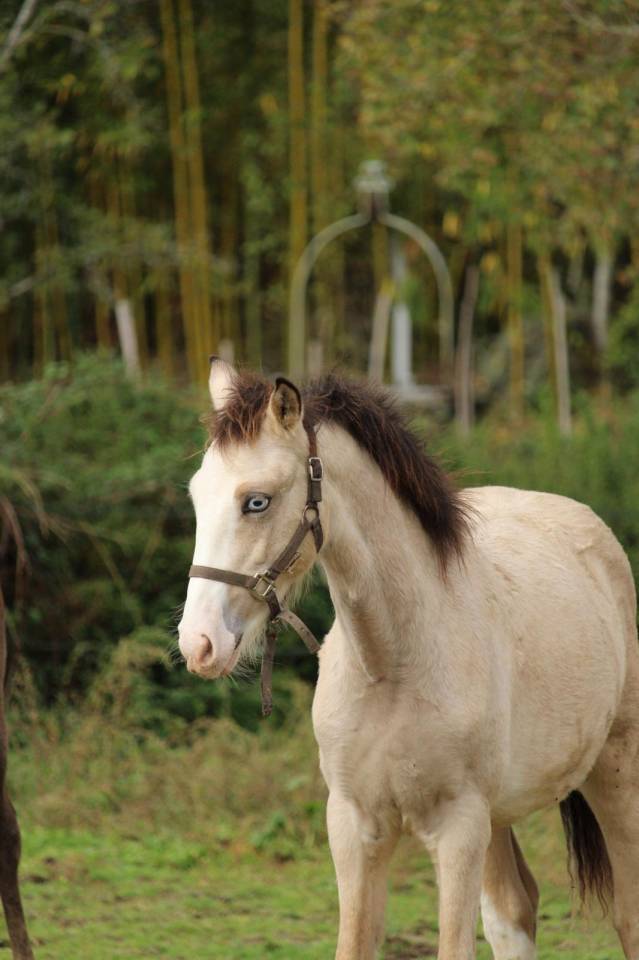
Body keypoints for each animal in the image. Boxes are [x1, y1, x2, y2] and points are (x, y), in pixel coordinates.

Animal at [178, 358, 639, 960]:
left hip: (614, 772)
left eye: (257, 501)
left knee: (627, 914)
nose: (199, 643)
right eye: (196, 497)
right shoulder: (354, 826)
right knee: (513, 912)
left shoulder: (459, 827)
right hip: (500, 815)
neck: (393, 665)